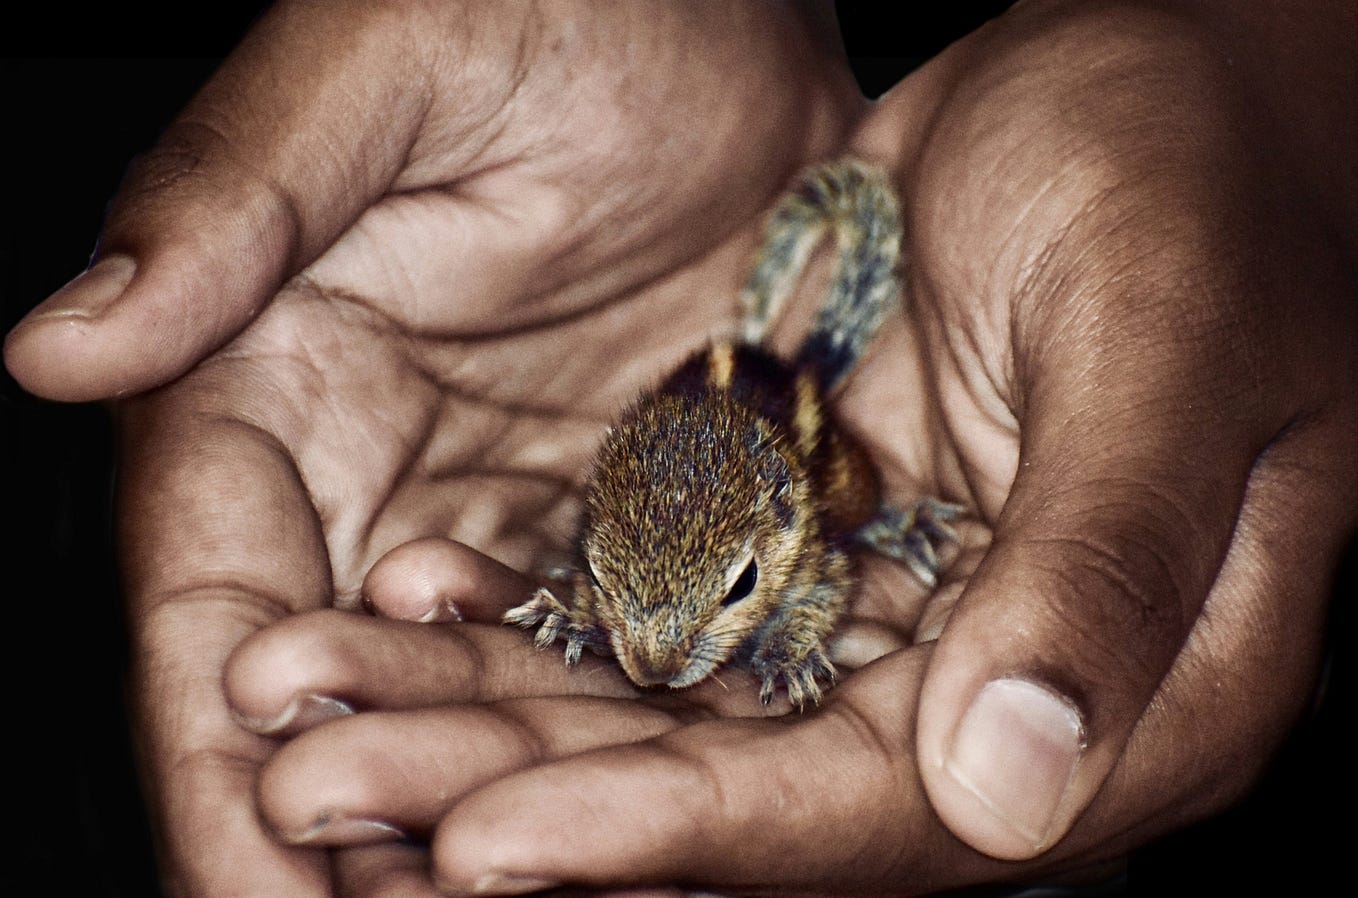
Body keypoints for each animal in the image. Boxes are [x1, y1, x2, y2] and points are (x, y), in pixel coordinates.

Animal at [503, 159, 960, 709]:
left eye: (745, 583)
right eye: (595, 574)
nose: (655, 671)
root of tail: (798, 369)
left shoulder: (816, 560)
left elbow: (820, 599)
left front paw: (786, 659)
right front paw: (573, 620)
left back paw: (900, 526)